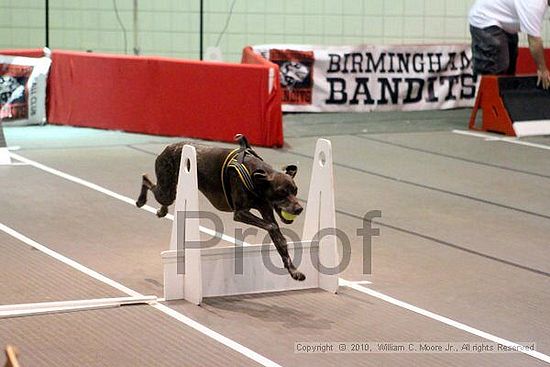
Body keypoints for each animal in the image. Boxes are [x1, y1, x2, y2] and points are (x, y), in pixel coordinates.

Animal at [135, 135, 304, 282]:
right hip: (166, 189)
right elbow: (272, 226)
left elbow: (280, 240)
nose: (299, 209)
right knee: (145, 179)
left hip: (171, 189)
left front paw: (294, 271)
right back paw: (141, 200)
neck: (256, 178)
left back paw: (162, 210)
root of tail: (168, 147)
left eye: (295, 191)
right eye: (281, 192)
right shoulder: (240, 213)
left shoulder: (266, 210)